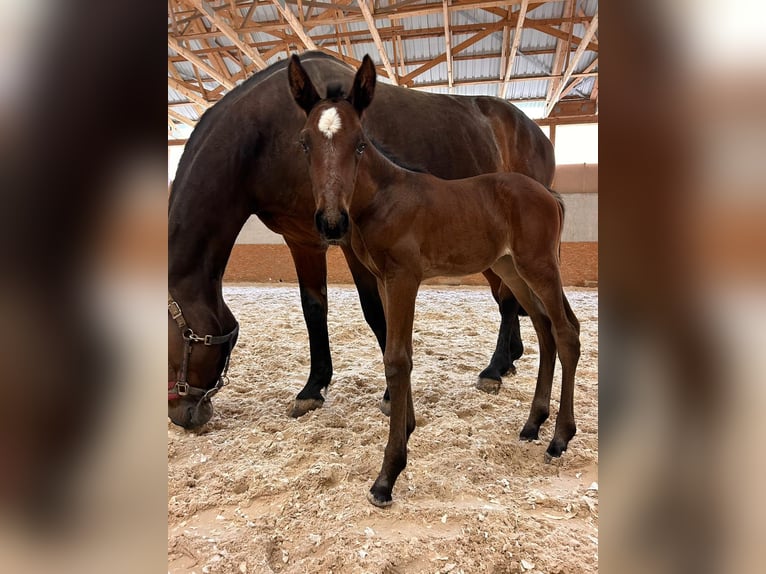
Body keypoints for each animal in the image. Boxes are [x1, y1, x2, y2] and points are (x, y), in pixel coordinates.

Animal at [290, 55, 584, 508]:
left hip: (539, 266)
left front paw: (388, 474)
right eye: (305, 143)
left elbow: (398, 359)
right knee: (544, 327)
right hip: (511, 269)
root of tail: (548, 194)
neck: (384, 197)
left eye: (360, 143)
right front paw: (406, 427)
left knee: (566, 330)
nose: (331, 222)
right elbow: (392, 348)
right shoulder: (383, 280)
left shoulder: (404, 278)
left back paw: (560, 438)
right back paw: (533, 424)